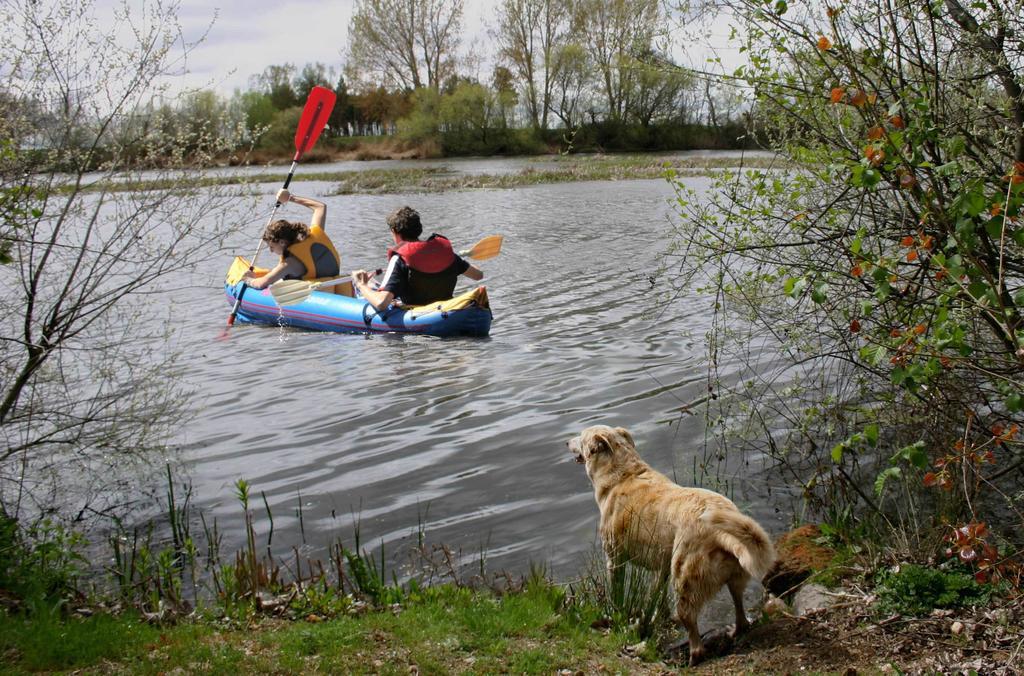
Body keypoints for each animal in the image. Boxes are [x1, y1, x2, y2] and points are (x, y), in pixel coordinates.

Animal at [569, 426, 774, 663]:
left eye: (580, 437)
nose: (566, 442)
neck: (623, 475)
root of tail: (720, 533)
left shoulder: (614, 558)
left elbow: (617, 591)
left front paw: (615, 612)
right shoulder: (662, 567)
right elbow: (657, 596)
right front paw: (658, 616)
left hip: (685, 580)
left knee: (694, 634)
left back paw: (691, 658)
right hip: (735, 576)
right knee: (740, 613)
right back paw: (734, 630)